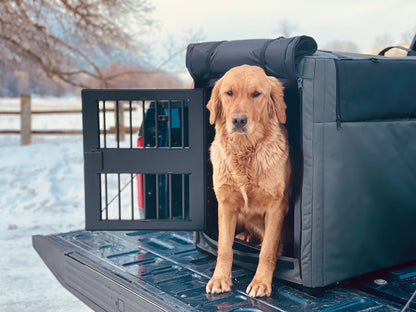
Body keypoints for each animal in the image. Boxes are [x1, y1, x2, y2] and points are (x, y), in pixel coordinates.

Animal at [204, 64, 290, 298]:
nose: (239, 120)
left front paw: (261, 282)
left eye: (256, 94)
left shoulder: (276, 206)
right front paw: (219, 279)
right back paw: (245, 236)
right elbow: (224, 248)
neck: (244, 151)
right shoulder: (225, 205)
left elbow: (267, 250)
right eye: (229, 93)